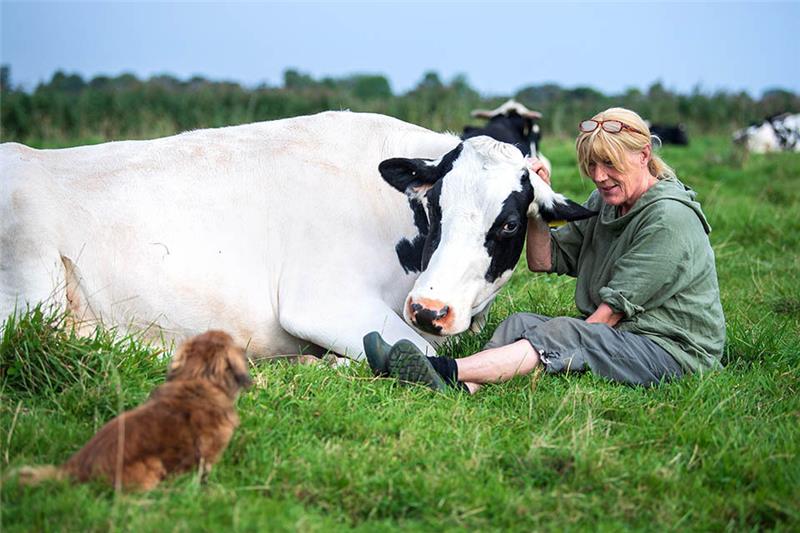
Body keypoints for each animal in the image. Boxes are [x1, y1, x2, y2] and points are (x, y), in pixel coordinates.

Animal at [1, 111, 594, 361]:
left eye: (510, 223)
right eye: (434, 207)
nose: (430, 309)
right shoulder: (321, 303)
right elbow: (419, 350)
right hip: (33, 284)